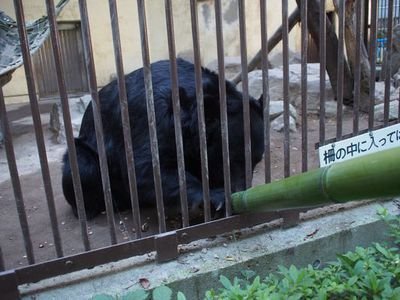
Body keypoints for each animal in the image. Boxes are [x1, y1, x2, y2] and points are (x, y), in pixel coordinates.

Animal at [61, 57, 264, 219]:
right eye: (233, 160)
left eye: (256, 161)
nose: (243, 190)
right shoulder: (149, 117)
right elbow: (147, 169)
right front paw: (218, 198)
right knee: (81, 166)